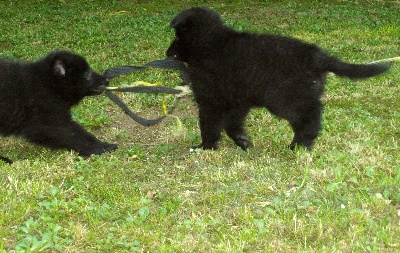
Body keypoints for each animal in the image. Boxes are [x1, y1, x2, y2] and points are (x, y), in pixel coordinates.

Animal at [166, 7, 390, 150]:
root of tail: (317, 56)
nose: (167, 53)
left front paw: (205, 146)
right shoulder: (237, 101)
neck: (211, 44)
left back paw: (300, 144)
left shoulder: (210, 99)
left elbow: (209, 125)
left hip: (284, 99)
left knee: (311, 115)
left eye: (177, 36)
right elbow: (231, 124)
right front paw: (243, 141)